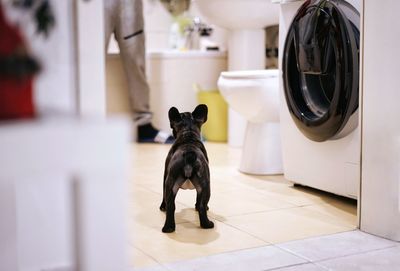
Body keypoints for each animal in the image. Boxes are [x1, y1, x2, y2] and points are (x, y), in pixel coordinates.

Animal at [160, 104, 214, 234]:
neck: (188, 134)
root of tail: (189, 154)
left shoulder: (165, 175)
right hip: (205, 184)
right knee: (202, 205)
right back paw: (207, 224)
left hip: (170, 182)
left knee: (170, 205)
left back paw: (168, 228)